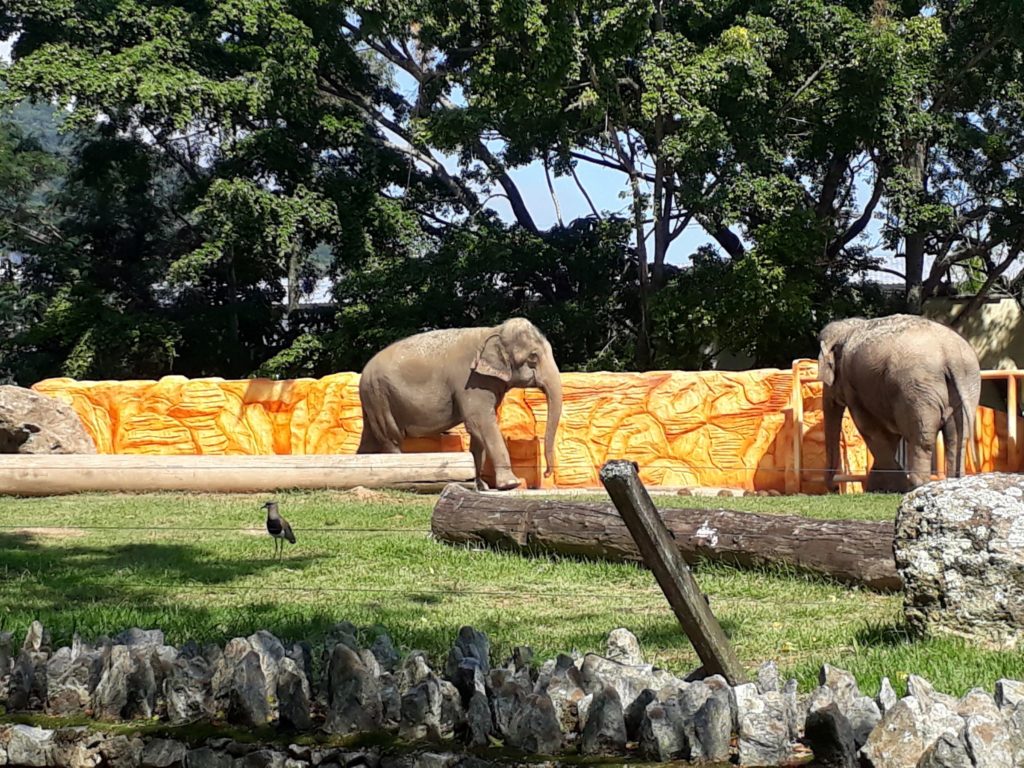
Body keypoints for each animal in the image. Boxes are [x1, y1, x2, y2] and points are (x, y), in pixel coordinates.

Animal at [356, 319, 565, 493]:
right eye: (533, 357)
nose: (546, 473)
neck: (493, 330)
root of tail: (364, 373)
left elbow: (479, 432)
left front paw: (482, 486)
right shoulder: (471, 380)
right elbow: (481, 423)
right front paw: (510, 484)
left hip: (373, 400)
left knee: (370, 439)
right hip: (380, 396)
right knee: (391, 438)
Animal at [815, 313, 983, 489]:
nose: (833, 487)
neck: (849, 330)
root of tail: (951, 353)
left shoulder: (853, 385)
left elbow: (869, 428)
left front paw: (896, 486)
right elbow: (889, 433)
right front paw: (879, 487)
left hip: (916, 389)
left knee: (921, 437)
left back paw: (917, 484)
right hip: (969, 385)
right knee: (958, 436)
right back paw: (954, 481)